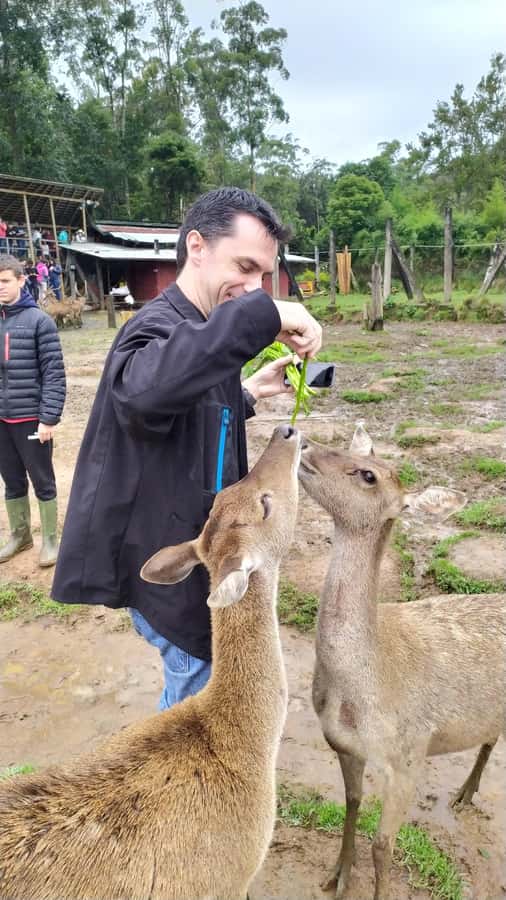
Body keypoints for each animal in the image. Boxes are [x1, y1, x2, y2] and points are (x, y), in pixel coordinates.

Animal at [298, 423, 506, 900]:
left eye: (368, 475)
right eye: (350, 449)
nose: (300, 440)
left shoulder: (411, 752)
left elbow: (383, 846)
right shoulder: (342, 744)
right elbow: (352, 803)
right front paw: (337, 876)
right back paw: (466, 792)